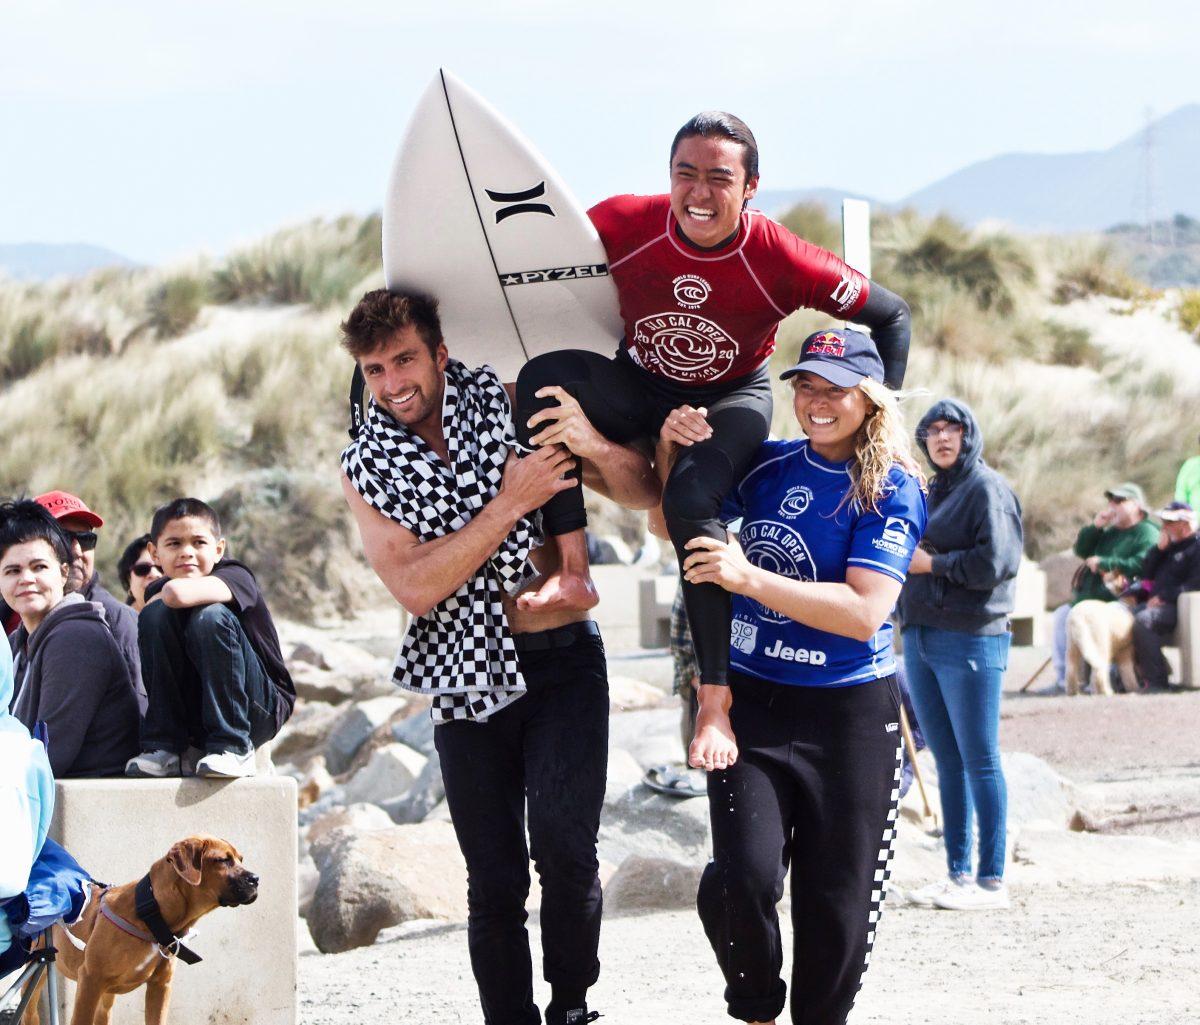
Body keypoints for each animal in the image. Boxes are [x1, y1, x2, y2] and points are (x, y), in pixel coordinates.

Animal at [24, 840, 258, 1025]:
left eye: (240, 859)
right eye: (223, 860)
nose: (256, 879)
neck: (152, 915)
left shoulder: (160, 986)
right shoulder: (90, 979)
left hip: (105, 995)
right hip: (40, 969)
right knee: (29, 1010)